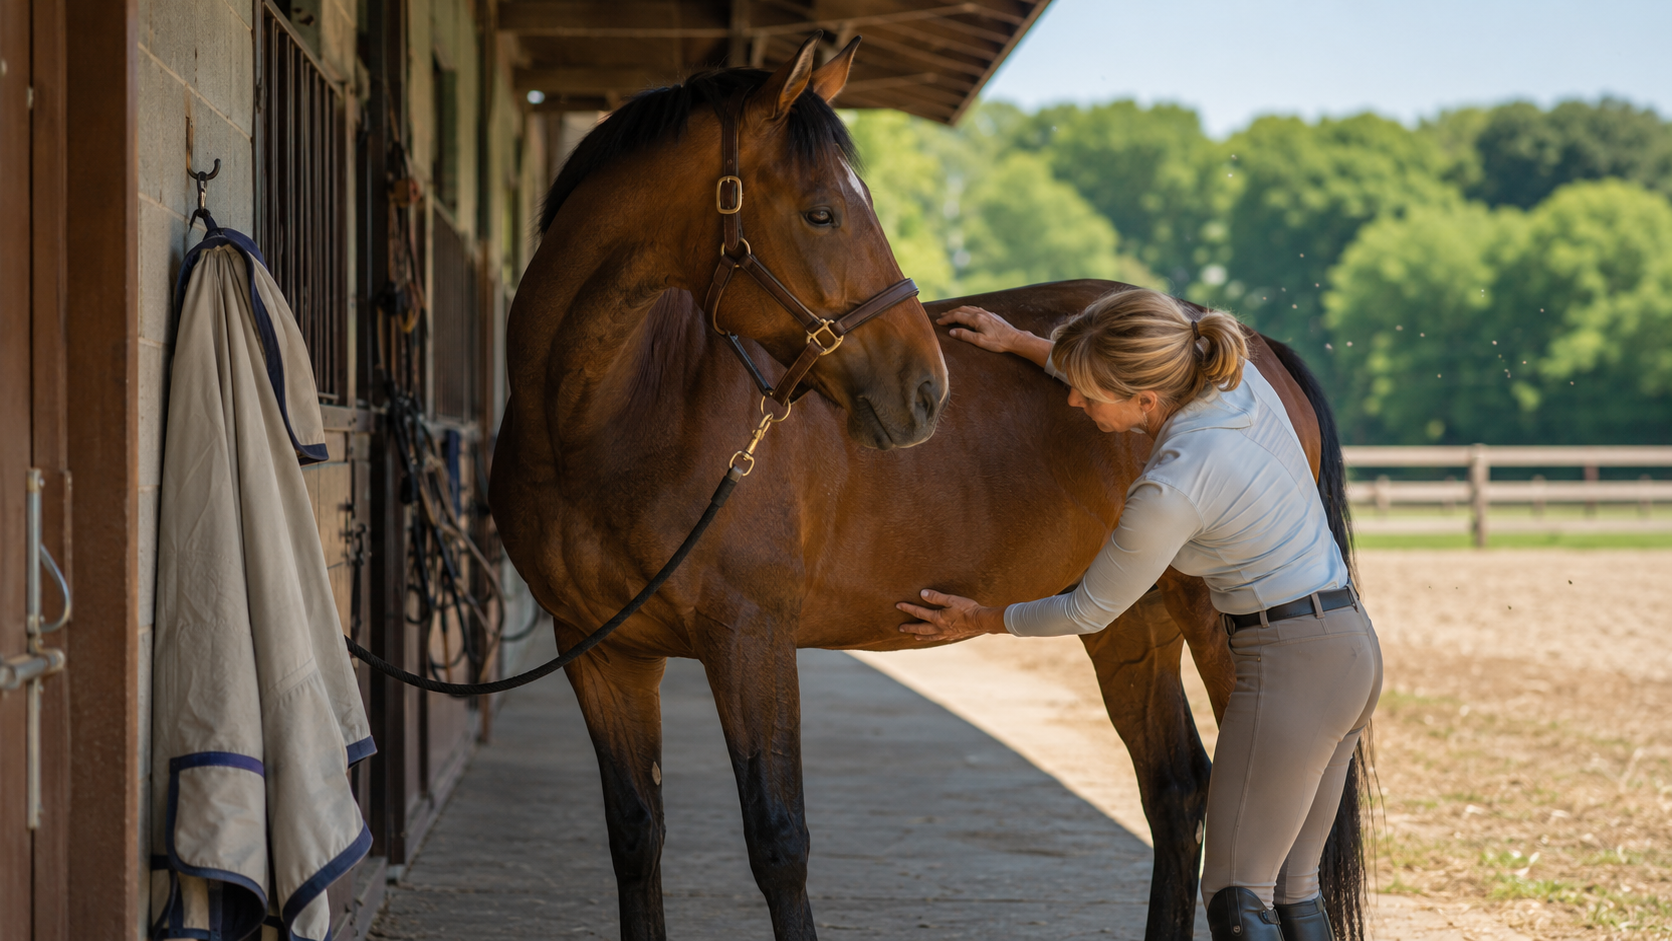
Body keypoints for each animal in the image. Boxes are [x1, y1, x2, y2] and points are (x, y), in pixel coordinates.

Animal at [491, 38, 1365, 941]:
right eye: (822, 213)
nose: (925, 390)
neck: (624, 411)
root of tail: (1239, 342)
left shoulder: (749, 640)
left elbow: (778, 841)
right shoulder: (602, 653)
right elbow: (636, 834)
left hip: (1226, 627)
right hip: (1131, 619)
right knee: (1177, 788)